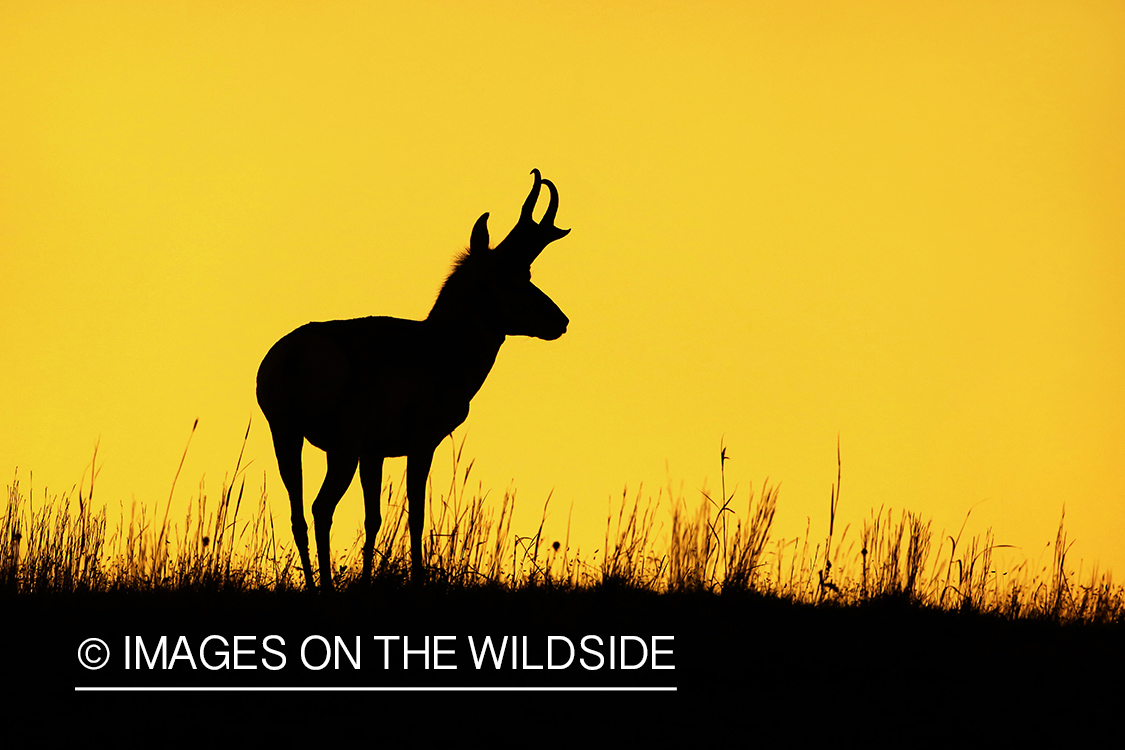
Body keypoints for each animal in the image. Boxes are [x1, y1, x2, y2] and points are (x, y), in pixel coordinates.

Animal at [257, 169, 571, 593]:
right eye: (515, 276)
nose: (561, 320)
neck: (440, 348)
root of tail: (293, 355)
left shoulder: (374, 452)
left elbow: (373, 518)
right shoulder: (421, 441)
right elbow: (416, 515)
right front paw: (419, 580)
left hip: (287, 435)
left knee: (298, 513)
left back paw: (311, 582)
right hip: (340, 443)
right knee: (320, 508)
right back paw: (324, 585)